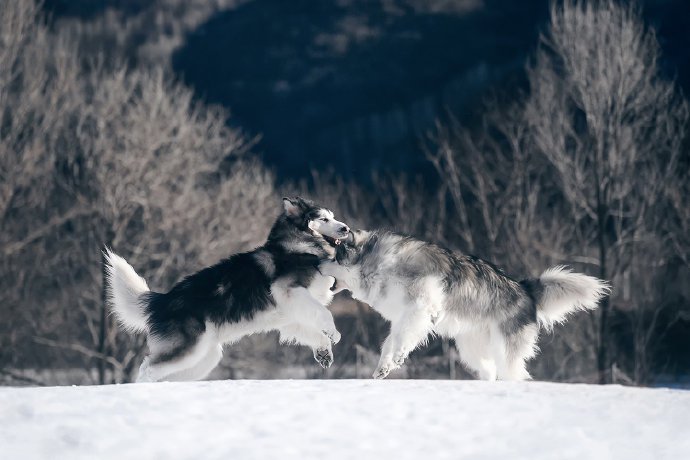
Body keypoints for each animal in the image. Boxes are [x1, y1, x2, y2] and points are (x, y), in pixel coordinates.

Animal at [322, 230, 608, 380]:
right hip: (470, 349)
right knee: (490, 371)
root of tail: (524, 288)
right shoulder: (404, 316)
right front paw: (384, 367)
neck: (379, 265)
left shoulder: (420, 307)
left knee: (513, 373)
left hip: (503, 348)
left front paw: (397, 359)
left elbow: (401, 340)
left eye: (332, 256)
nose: (315, 263)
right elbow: (389, 343)